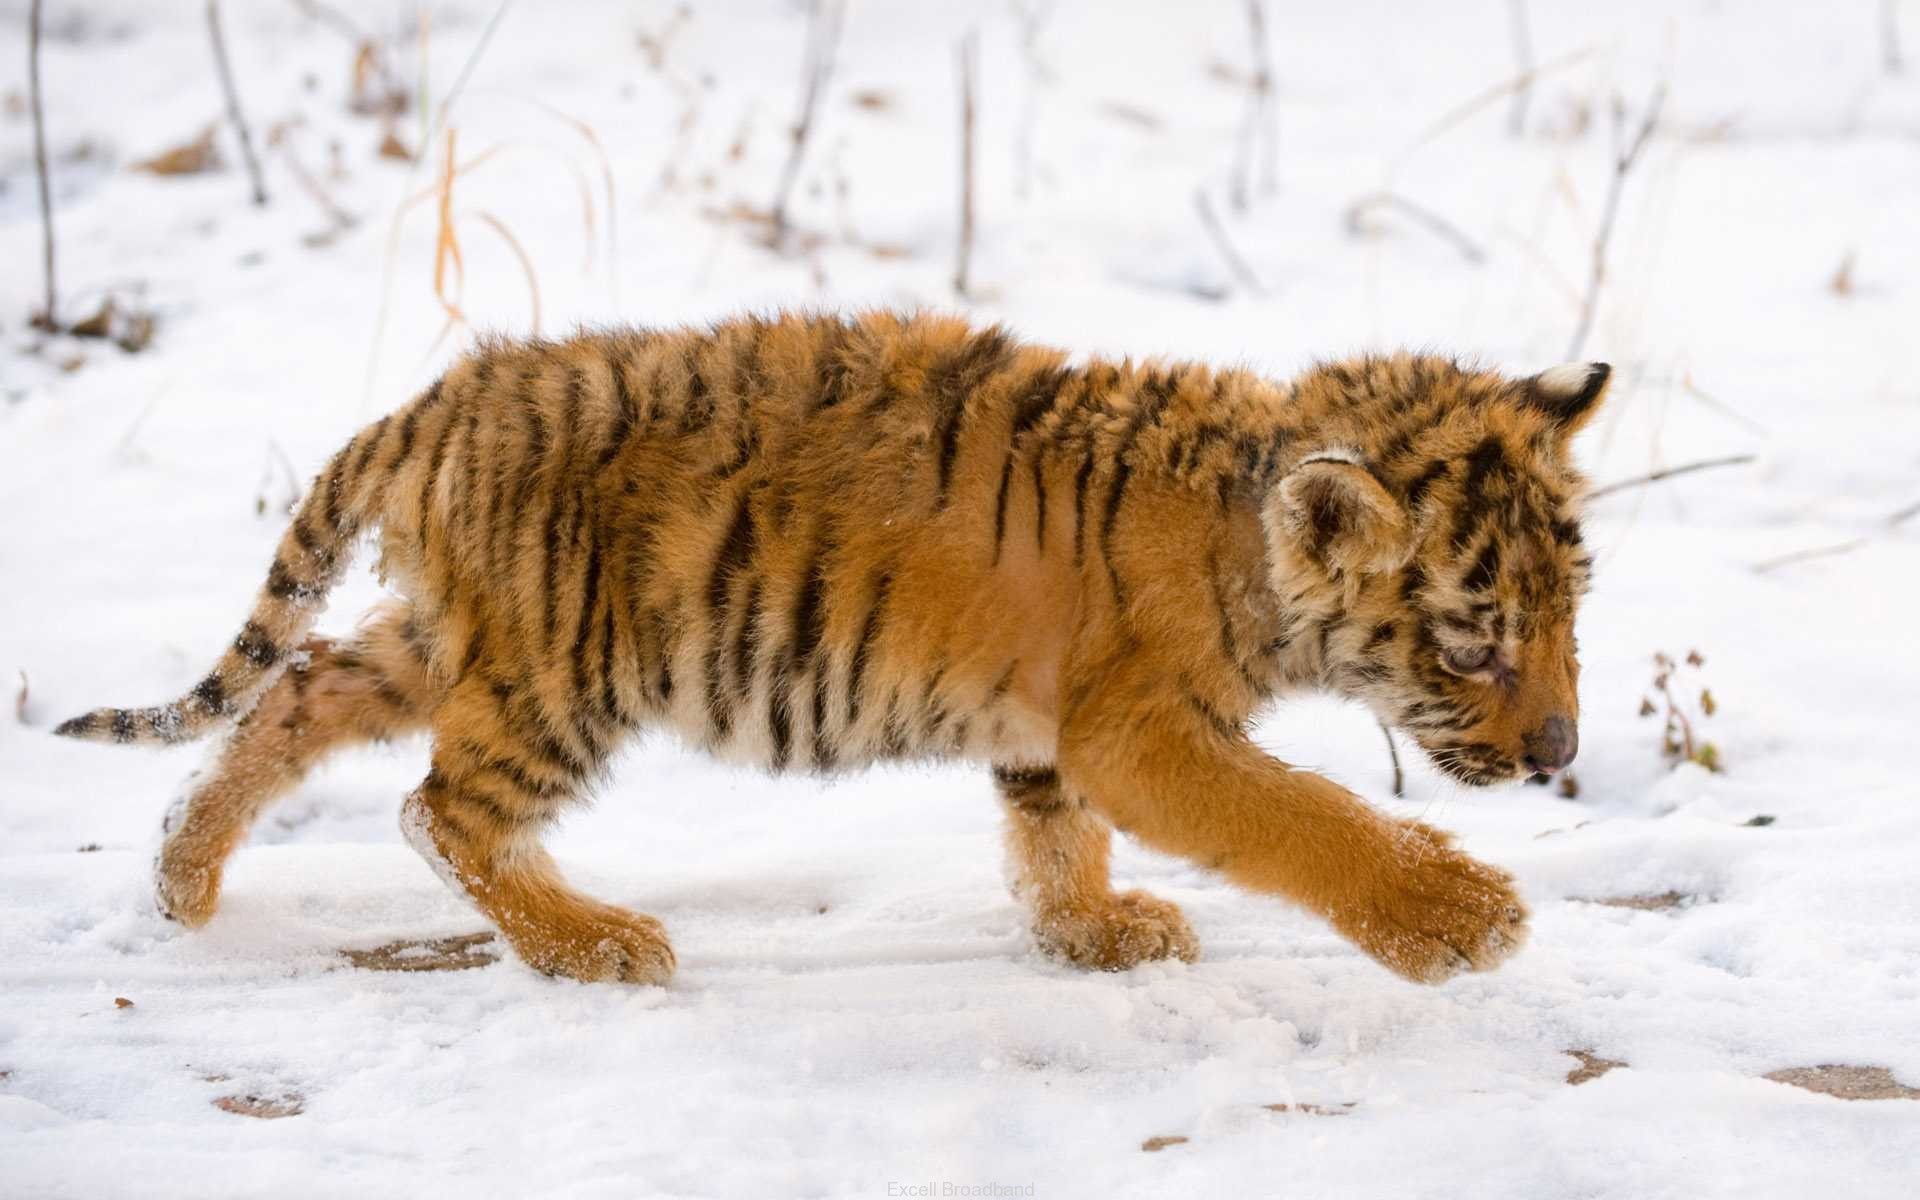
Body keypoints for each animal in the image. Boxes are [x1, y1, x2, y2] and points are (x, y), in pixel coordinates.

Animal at [54, 310, 1607, 987]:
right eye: (1477, 644)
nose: (1562, 750)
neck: (1248, 520)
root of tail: (438, 402)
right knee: (440, 809)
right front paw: (1460, 919)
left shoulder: (1055, 736)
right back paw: (595, 943)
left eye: (1571, 614)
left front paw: (1093, 933)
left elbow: (1054, 838)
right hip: (561, 671)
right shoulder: (1144, 731)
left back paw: (183, 879)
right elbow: (1304, 816)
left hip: (450, 639)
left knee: (298, 692)